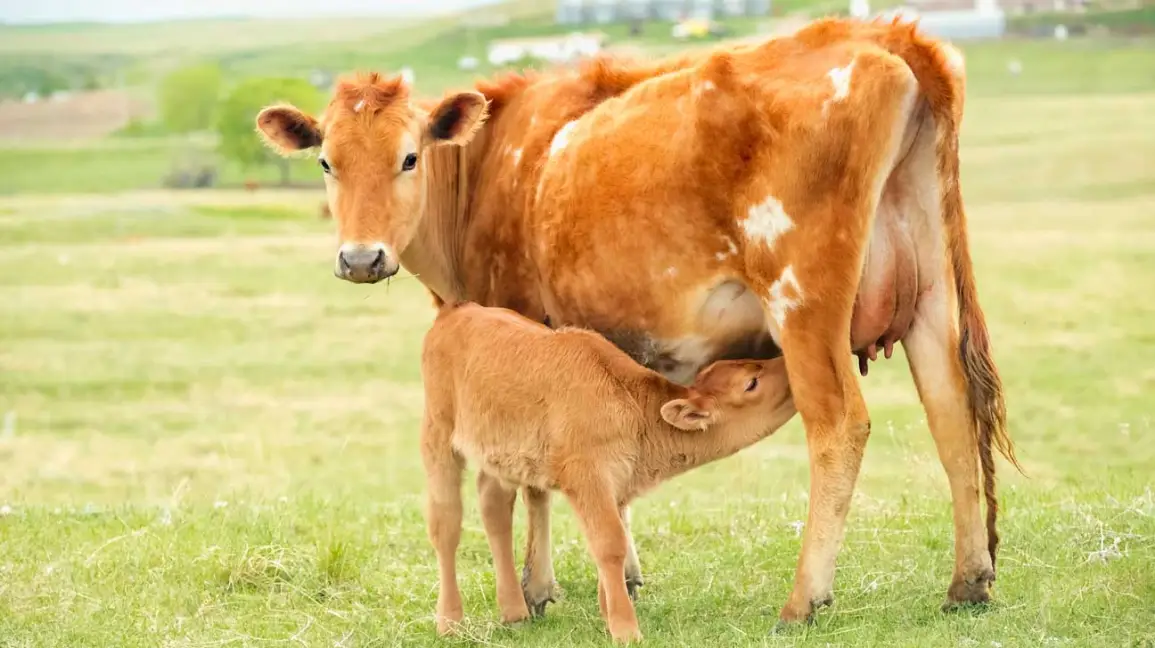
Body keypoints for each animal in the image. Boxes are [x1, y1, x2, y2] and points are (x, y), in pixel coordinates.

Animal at [420, 300, 799, 637]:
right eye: (751, 383)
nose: (788, 366)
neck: (630, 402)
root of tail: (455, 312)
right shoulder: (588, 479)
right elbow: (610, 544)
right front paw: (626, 629)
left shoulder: (615, 486)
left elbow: (610, 543)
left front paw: (608, 613)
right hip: (438, 438)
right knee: (446, 525)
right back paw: (449, 622)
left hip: (499, 457)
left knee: (495, 510)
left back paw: (515, 613)